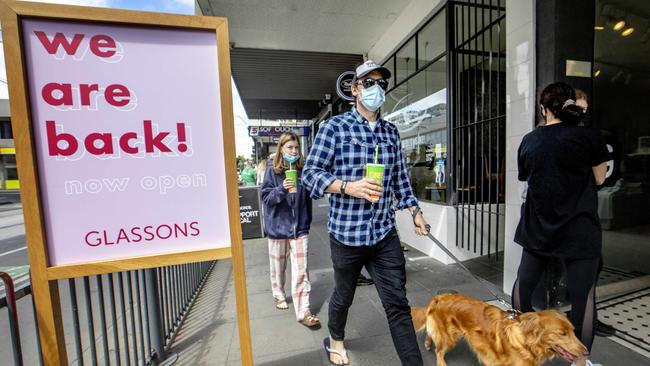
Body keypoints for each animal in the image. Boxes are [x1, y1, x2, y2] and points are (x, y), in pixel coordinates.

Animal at [412, 294, 588, 366]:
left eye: (573, 331)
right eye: (562, 334)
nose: (586, 352)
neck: (525, 341)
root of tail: (439, 297)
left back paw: (428, 343)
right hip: (450, 338)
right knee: (439, 352)